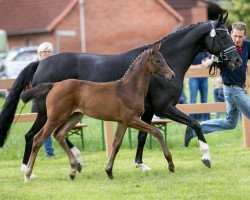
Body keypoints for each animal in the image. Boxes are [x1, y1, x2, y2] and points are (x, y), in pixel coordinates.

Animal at [20, 43, 175, 182]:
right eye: (157, 60)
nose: (172, 75)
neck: (129, 88)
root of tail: (55, 85)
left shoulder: (123, 122)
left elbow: (116, 144)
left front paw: (109, 172)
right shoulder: (131, 119)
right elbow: (157, 132)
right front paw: (171, 165)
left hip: (74, 116)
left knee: (59, 134)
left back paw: (74, 169)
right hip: (55, 117)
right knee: (37, 139)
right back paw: (27, 174)